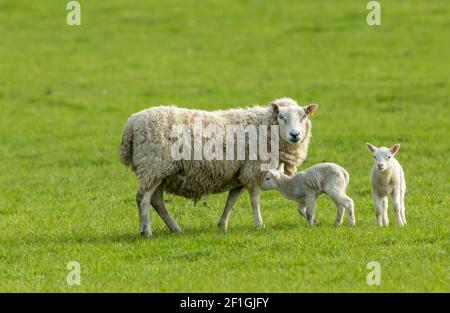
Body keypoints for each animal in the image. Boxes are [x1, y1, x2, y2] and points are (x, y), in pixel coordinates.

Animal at [119, 96, 316, 235]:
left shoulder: (239, 173)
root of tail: (131, 124)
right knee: (143, 198)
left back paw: (175, 229)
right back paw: (146, 231)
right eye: (281, 117)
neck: (265, 128)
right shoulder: (253, 171)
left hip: (158, 172)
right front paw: (260, 224)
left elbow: (231, 200)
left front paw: (222, 225)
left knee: (156, 201)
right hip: (153, 167)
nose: (295, 135)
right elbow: (254, 200)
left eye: (303, 116)